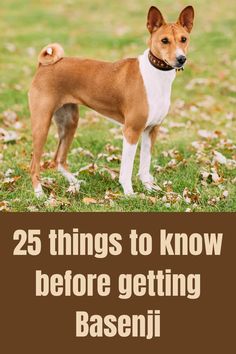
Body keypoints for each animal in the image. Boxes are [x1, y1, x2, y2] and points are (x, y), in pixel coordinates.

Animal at [28, 5, 195, 198]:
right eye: (164, 40)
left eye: (184, 39)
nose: (181, 58)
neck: (156, 75)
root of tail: (43, 66)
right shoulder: (131, 130)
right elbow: (127, 168)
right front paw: (129, 193)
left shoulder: (151, 129)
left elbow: (145, 165)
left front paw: (149, 188)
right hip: (42, 124)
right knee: (34, 164)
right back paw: (39, 193)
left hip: (69, 122)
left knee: (58, 159)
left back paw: (75, 183)